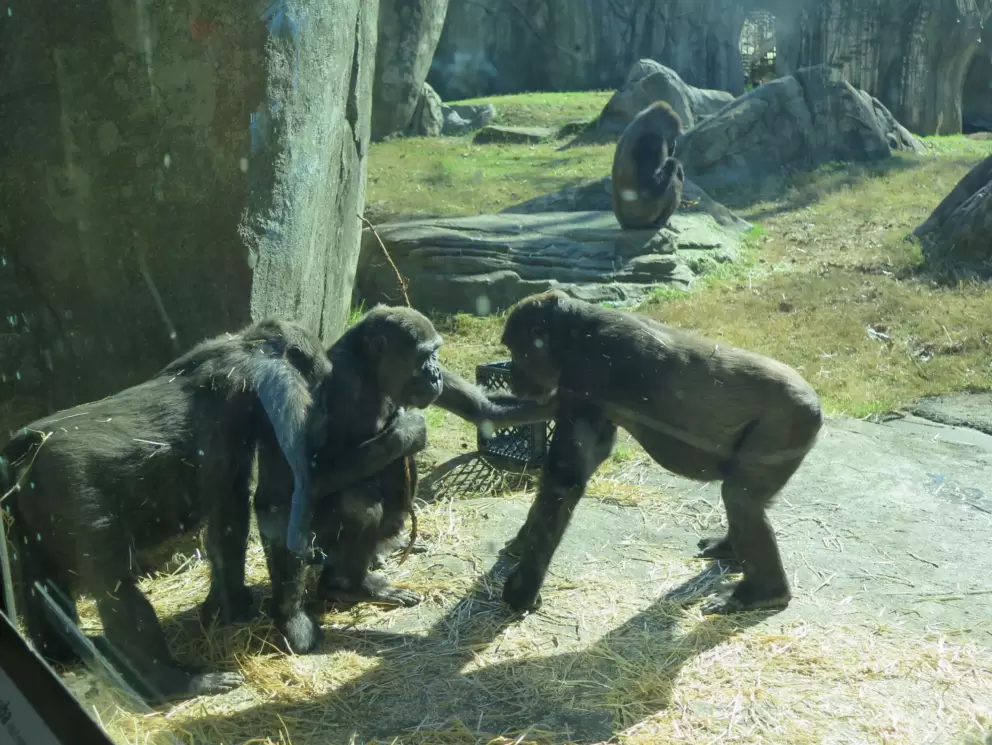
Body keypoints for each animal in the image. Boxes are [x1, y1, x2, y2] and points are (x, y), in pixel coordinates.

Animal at [494, 290, 823, 616]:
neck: (571, 335)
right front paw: (521, 545)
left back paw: (762, 592)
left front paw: (521, 589)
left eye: (515, 351)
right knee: (744, 501)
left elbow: (565, 479)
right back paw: (730, 550)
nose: (512, 376)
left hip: (789, 423)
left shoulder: (588, 371)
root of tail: (815, 402)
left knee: (740, 498)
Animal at [611, 100, 686, 230]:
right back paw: (661, 222)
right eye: (673, 136)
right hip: (641, 219)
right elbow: (650, 187)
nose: (674, 144)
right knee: (673, 182)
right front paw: (675, 162)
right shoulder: (653, 142)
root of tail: (625, 225)